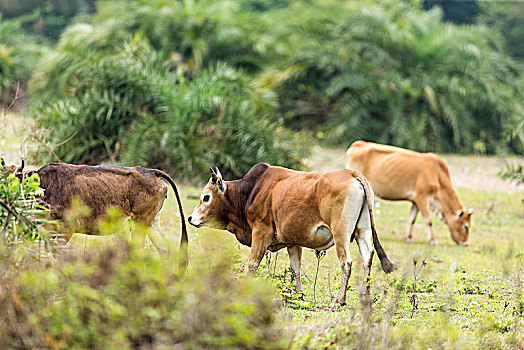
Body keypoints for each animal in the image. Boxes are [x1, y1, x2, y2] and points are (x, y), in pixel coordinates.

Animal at [7, 162, 187, 258]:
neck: (44, 185)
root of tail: (152, 172)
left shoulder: (67, 227)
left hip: (139, 224)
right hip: (151, 224)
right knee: (165, 249)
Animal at [188, 163, 392, 304]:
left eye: (206, 197)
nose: (190, 218)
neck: (249, 191)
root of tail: (352, 173)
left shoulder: (260, 232)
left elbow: (252, 264)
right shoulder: (294, 241)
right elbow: (296, 267)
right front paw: (299, 295)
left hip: (340, 233)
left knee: (346, 262)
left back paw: (340, 299)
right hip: (362, 231)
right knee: (367, 257)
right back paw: (365, 294)